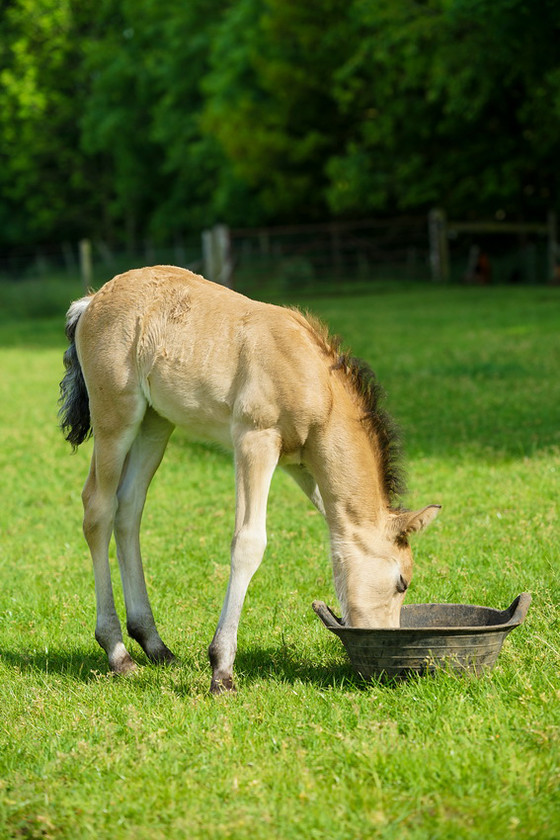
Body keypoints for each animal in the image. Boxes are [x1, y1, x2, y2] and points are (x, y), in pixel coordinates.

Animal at [60, 266, 438, 692]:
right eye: (401, 581)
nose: (385, 643)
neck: (313, 380)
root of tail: (91, 301)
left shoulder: (302, 464)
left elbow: (332, 523)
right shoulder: (255, 440)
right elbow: (248, 543)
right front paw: (221, 668)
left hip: (156, 423)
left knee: (128, 510)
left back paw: (154, 643)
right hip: (116, 418)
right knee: (98, 510)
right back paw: (117, 653)